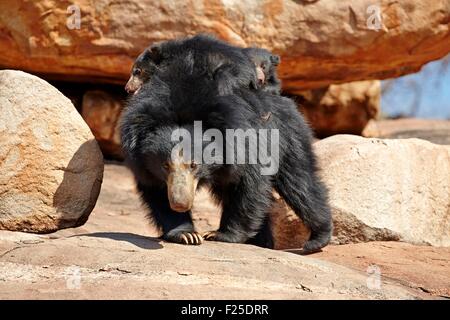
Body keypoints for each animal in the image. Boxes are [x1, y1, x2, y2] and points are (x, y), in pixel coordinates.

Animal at [121, 36, 332, 254]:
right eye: (164, 165)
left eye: (194, 165)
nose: (180, 203)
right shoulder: (141, 156)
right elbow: (155, 189)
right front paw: (186, 234)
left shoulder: (241, 138)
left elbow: (249, 182)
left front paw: (221, 235)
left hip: (287, 135)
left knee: (300, 183)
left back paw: (317, 238)